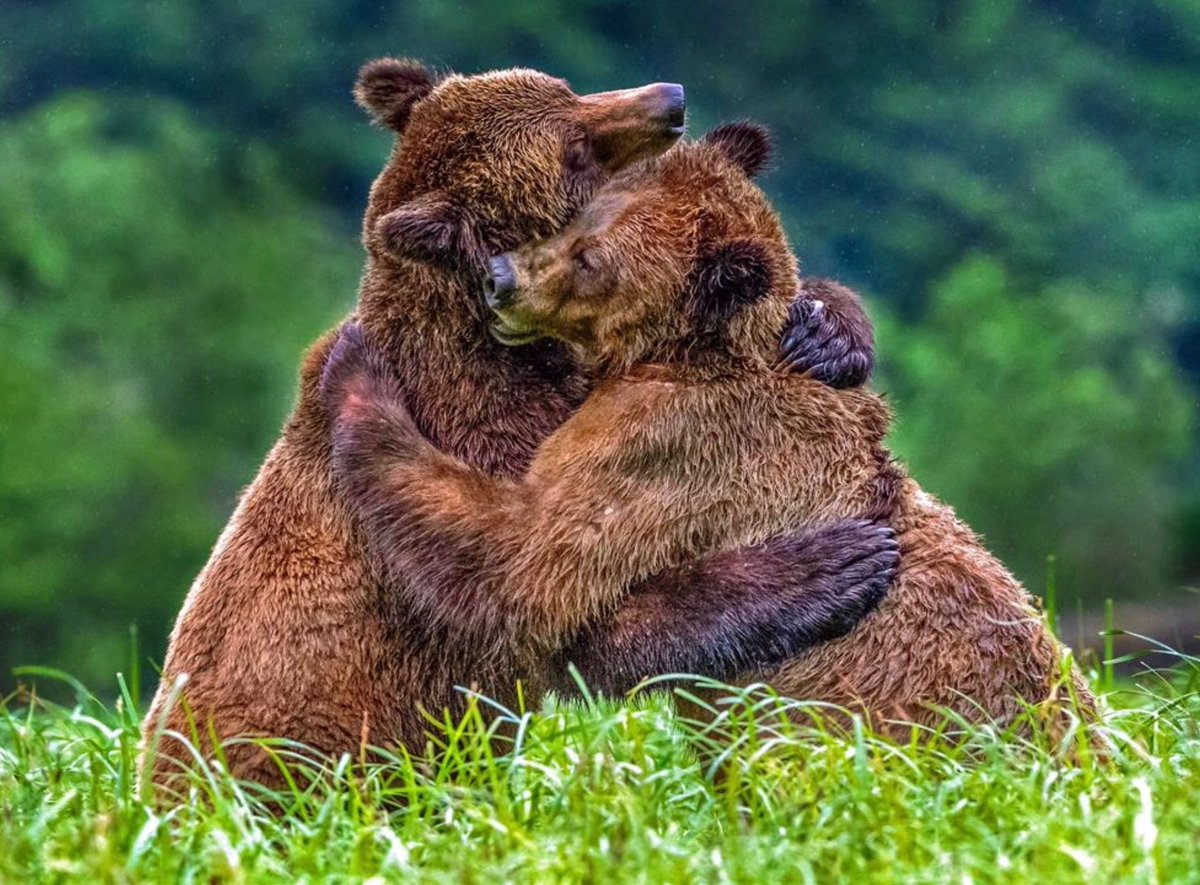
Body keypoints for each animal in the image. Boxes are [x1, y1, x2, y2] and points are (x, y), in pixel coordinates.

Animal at [142, 60, 897, 794]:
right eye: (574, 148)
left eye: (566, 88)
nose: (670, 99)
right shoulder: (492, 436)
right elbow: (549, 596)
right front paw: (830, 564)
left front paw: (826, 334)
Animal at [320, 121, 1096, 731]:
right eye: (574, 219)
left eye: (592, 259)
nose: (500, 279)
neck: (679, 350)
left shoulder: (665, 443)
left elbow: (524, 558)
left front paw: (356, 373)